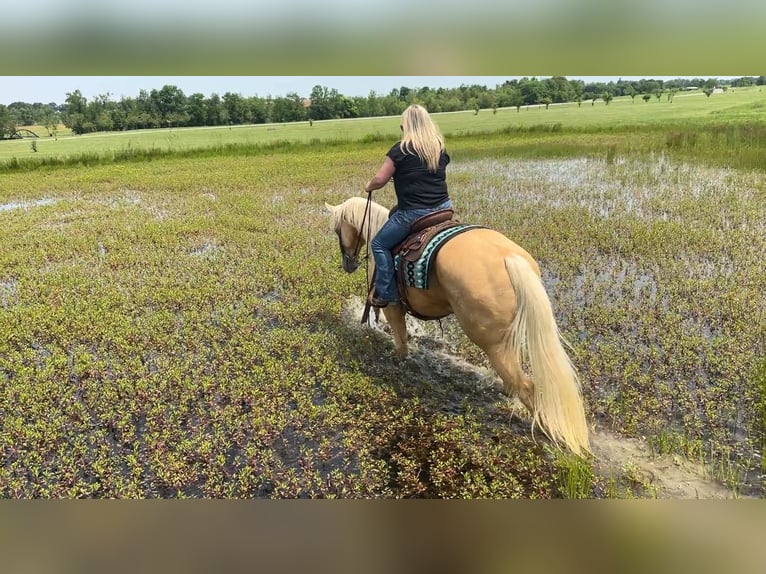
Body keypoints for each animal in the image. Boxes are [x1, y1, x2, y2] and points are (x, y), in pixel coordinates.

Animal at [324, 196, 591, 457]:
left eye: (337, 229)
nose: (348, 264)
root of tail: (510, 260)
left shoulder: (392, 307)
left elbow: (400, 343)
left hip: (491, 342)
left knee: (526, 386)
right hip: (506, 339)